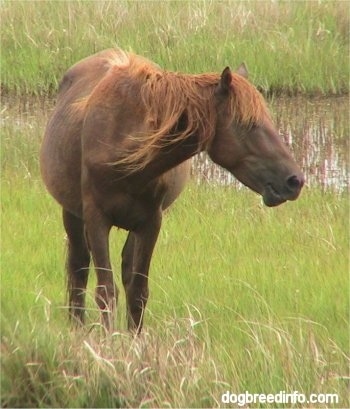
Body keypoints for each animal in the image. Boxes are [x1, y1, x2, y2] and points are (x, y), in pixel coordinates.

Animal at [40, 47, 304, 332]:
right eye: (248, 125)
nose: (295, 180)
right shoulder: (96, 218)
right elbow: (105, 291)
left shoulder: (151, 221)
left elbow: (138, 291)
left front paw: (134, 338)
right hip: (72, 214)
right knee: (78, 268)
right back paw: (77, 326)